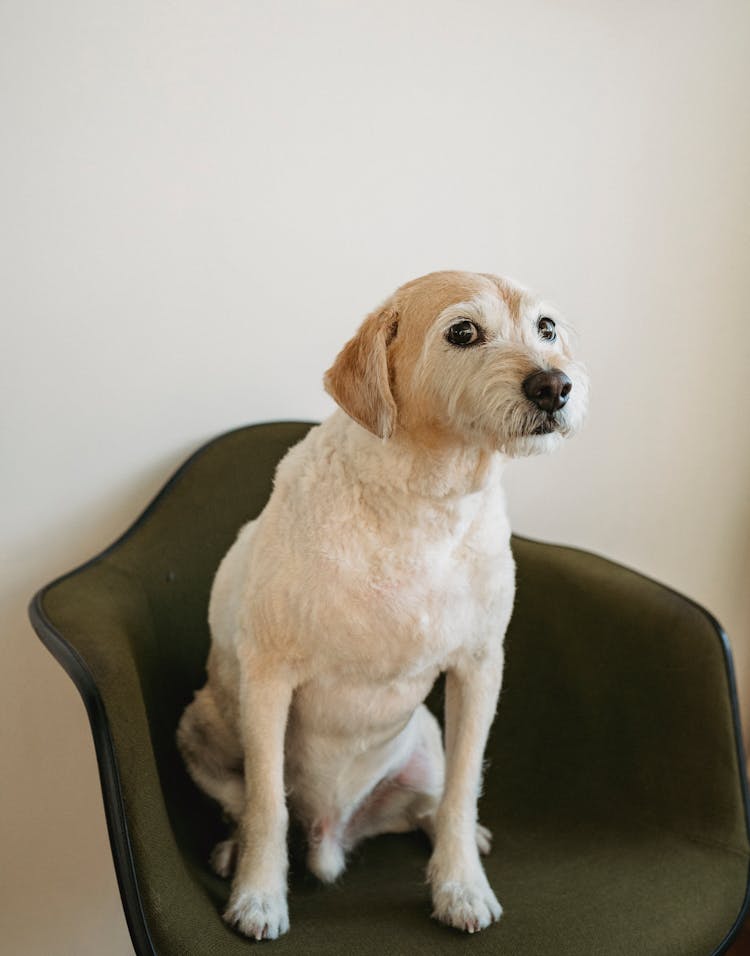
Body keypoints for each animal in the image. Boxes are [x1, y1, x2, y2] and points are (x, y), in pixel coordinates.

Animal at [176, 268, 588, 940]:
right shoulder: (268, 676)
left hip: (426, 742)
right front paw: (259, 896)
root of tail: (334, 833)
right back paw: (237, 850)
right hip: (201, 724)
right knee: (249, 802)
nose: (554, 385)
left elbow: (463, 789)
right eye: (463, 332)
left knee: (433, 803)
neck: (424, 503)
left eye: (546, 327)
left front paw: (461, 885)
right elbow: (266, 802)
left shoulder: (479, 671)